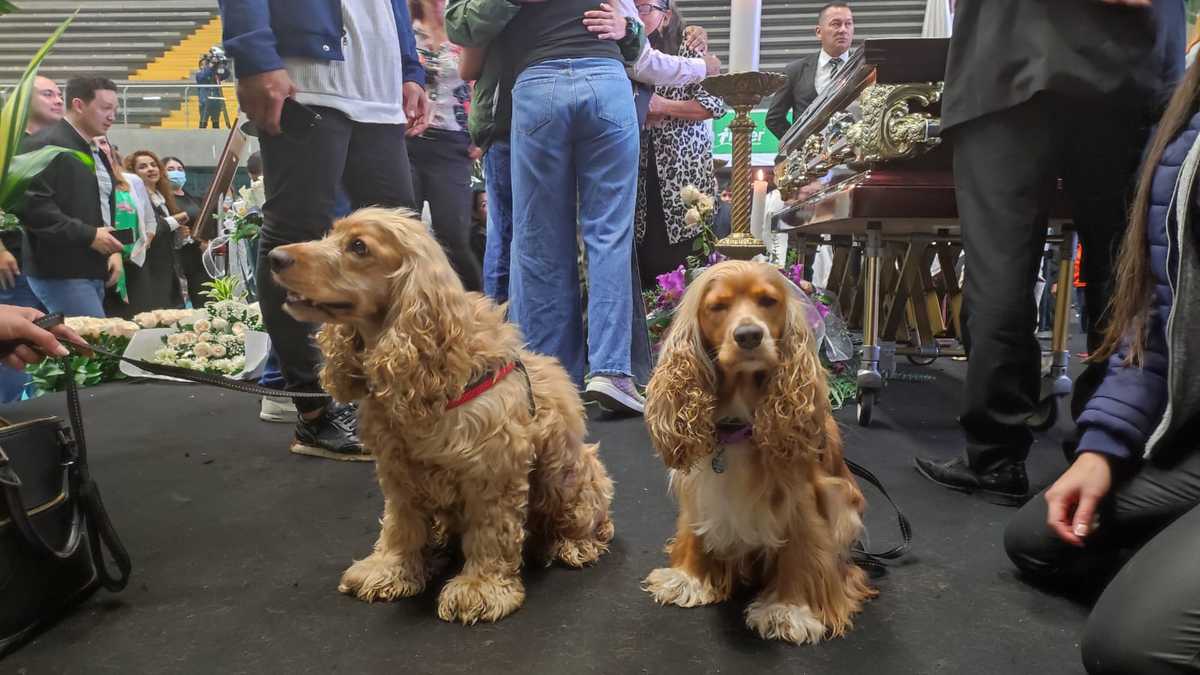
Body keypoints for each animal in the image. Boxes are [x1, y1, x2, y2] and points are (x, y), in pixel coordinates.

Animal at [268, 207, 614, 624]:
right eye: (329, 234)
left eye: (359, 246)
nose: (275, 257)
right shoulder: (397, 468)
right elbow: (401, 525)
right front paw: (391, 569)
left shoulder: (492, 466)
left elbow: (491, 531)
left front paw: (480, 588)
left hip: (563, 475)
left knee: (587, 520)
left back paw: (571, 545)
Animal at [643, 257, 878, 638]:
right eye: (718, 306)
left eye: (768, 301)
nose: (749, 335)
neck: (740, 420)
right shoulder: (700, 486)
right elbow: (695, 528)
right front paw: (689, 578)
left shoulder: (804, 494)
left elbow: (801, 549)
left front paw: (789, 609)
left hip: (844, 502)